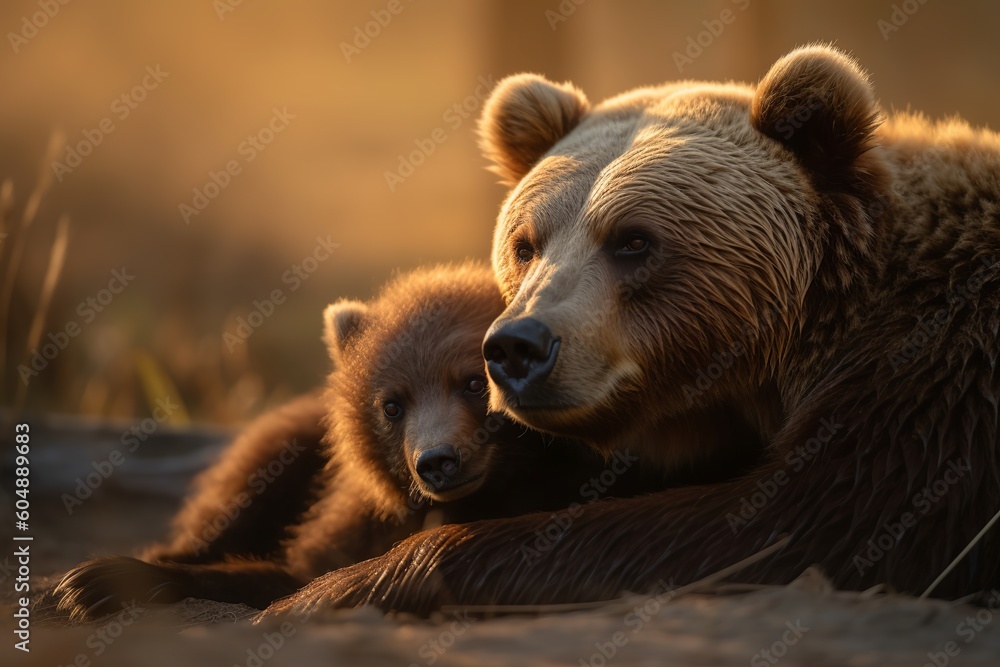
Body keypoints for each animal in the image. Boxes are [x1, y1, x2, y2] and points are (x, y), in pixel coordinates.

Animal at [54, 264, 706, 620]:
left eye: (475, 381)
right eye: (392, 404)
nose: (436, 461)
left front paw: (97, 582)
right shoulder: (353, 511)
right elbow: (304, 562)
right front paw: (91, 581)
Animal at [257, 44, 1000, 620]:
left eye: (634, 239)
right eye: (526, 242)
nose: (517, 348)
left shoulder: (931, 386)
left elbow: (778, 527)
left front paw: (325, 591)